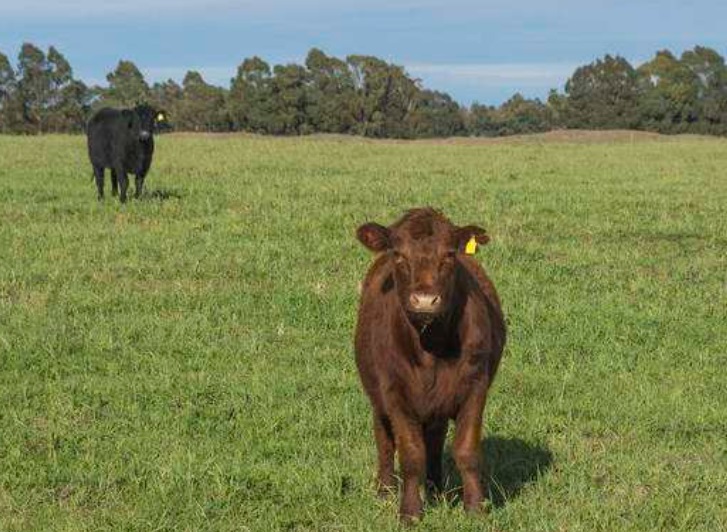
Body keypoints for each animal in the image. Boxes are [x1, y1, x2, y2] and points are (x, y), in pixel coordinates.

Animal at [354, 206, 506, 520]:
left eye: (448, 255)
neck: (432, 349)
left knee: (435, 442)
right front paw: (410, 512)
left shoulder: (475, 386)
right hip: (377, 397)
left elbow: (466, 450)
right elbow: (411, 454)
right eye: (399, 255)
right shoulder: (395, 393)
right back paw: (385, 489)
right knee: (384, 438)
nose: (424, 301)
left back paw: (436, 489)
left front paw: (475, 507)